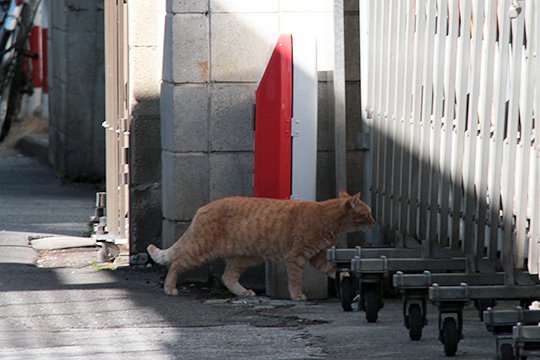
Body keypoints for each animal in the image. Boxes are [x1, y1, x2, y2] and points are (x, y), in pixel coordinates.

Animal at [148, 191, 376, 300]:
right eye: (367, 213)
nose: (374, 222)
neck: (327, 219)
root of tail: (202, 208)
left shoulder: (317, 257)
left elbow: (335, 270)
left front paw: (347, 280)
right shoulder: (296, 257)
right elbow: (295, 280)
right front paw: (297, 296)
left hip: (245, 257)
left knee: (228, 277)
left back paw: (243, 292)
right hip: (201, 250)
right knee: (176, 263)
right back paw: (169, 287)